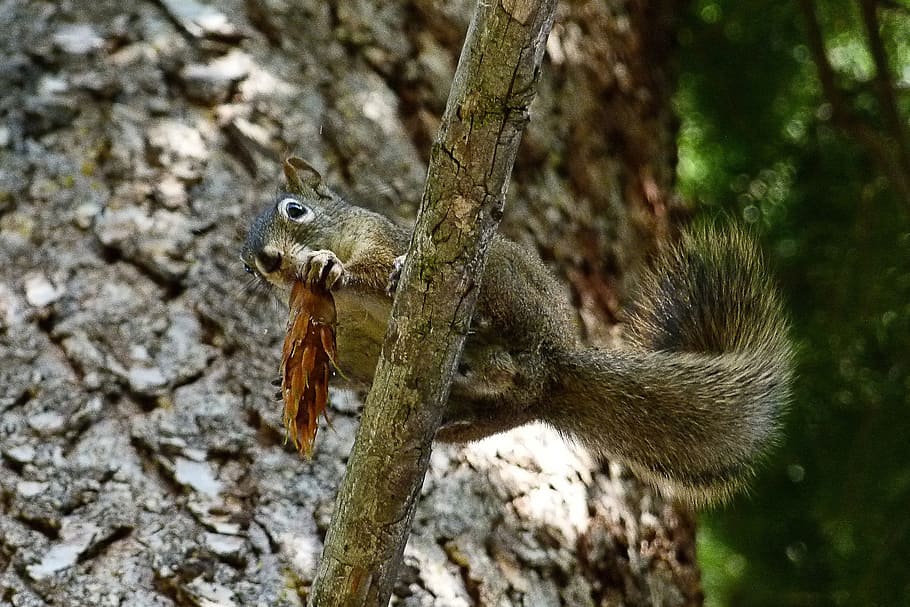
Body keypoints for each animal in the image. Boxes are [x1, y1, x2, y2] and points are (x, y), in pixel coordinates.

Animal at [241, 158, 793, 505]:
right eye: (247, 267)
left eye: (295, 209)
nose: (267, 261)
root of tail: (557, 365)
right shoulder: (351, 344)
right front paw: (287, 380)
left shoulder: (382, 238)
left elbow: (370, 266)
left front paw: (333, 266)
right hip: (501, 405)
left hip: (504, 280)